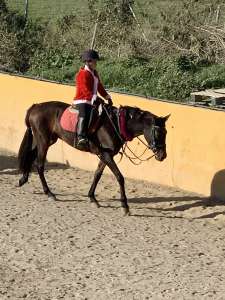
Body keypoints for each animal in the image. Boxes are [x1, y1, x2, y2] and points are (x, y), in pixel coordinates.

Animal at [18, 102, 169, 214]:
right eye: (158, 132)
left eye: (166, 132)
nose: (162, 155)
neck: (115, 124)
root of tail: (36, 106)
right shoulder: (107, 155)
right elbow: (119, 177)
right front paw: (124, 206)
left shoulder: (105, 155)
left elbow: (97, 174)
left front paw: (92, 198)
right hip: (43, 140)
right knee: (39, 164)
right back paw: (49, 193)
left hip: (46, 140)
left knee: (30, 156)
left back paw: (23, 179)